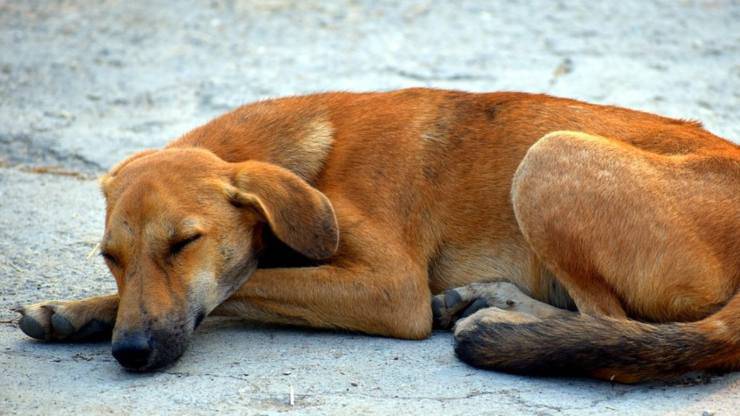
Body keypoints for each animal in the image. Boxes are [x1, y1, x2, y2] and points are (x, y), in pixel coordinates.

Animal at [17, 89, 740, 382]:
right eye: (111, 257)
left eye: (183, 244)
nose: (130, 353)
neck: (315, 156)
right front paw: (77, 311)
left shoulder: (392, 291)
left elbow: (245, 283)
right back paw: (493, 302)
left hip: (549, 157)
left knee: (615, 326)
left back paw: (507, 323)